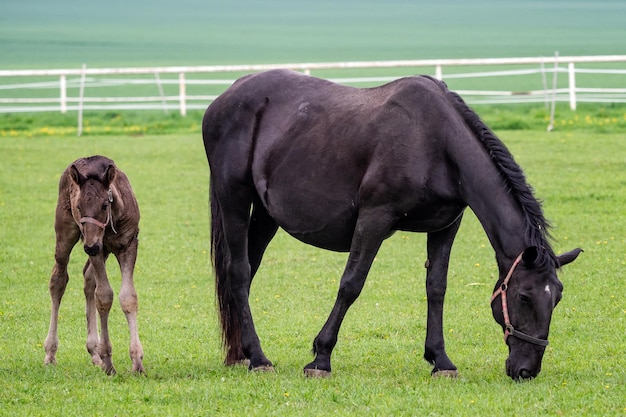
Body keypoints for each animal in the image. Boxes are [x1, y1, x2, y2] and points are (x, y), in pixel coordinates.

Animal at [201, 69, 580, 380]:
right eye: (525, 297)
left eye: (557, 297)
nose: (527, 370)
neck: (435, 143)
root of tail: (225, 97)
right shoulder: (374, 218)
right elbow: (351, 284)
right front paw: (321, 358)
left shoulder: (446, 226)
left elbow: (436, 287)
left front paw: (441, 360)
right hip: (234, 200)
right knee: (238, 272)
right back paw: (258, 358)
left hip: (266, 214)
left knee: (247, 271)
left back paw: (242, 353)